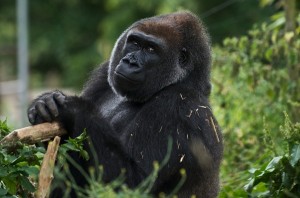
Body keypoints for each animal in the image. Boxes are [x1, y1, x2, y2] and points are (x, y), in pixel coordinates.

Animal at [27, 11, 223, 198]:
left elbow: (132, 181)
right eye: (135, 42)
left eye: (151, 49)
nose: (130, 61)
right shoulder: (104, 73)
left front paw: (72, 108)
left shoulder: (177, 105)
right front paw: (44, 103)